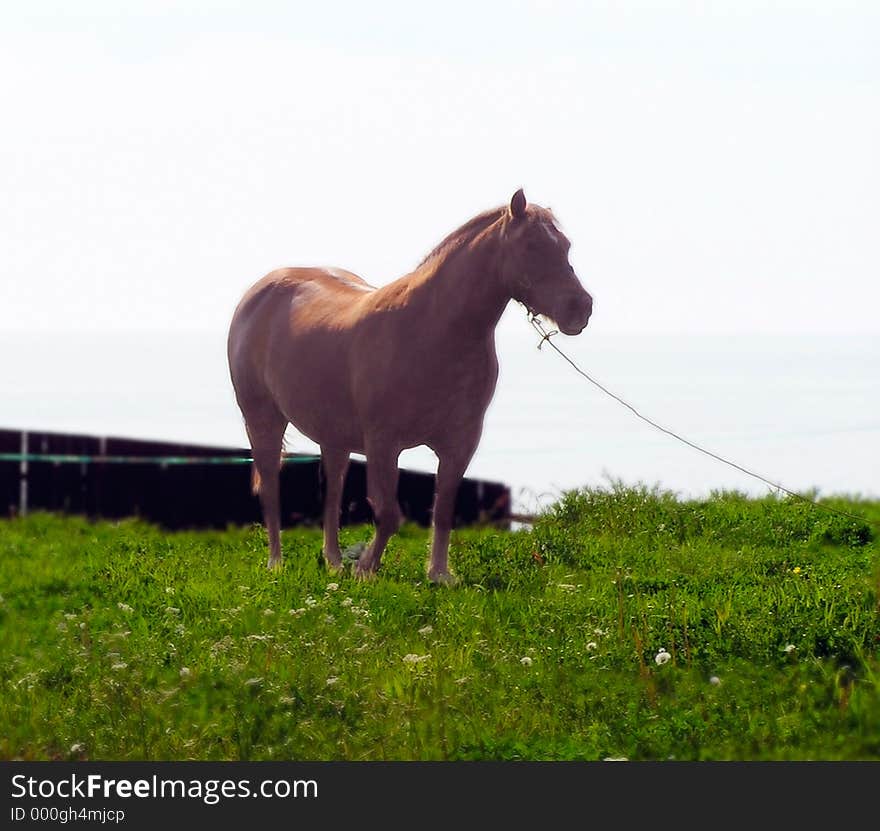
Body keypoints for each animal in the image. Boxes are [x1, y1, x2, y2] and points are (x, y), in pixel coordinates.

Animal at [230, 189, 596, 580]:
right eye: (531, 245)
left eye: (565, 246)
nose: (580, 308)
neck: (430, 331)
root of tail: (260, 291)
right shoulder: (382, 443)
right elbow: (389, 514)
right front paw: (366, 569)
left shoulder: (460, 444)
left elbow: (444, 510)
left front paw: (438, 574)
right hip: (263, 419)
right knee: (271, 486)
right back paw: (276, 563)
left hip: (334, 435)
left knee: (332, 491)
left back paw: (334, 563)